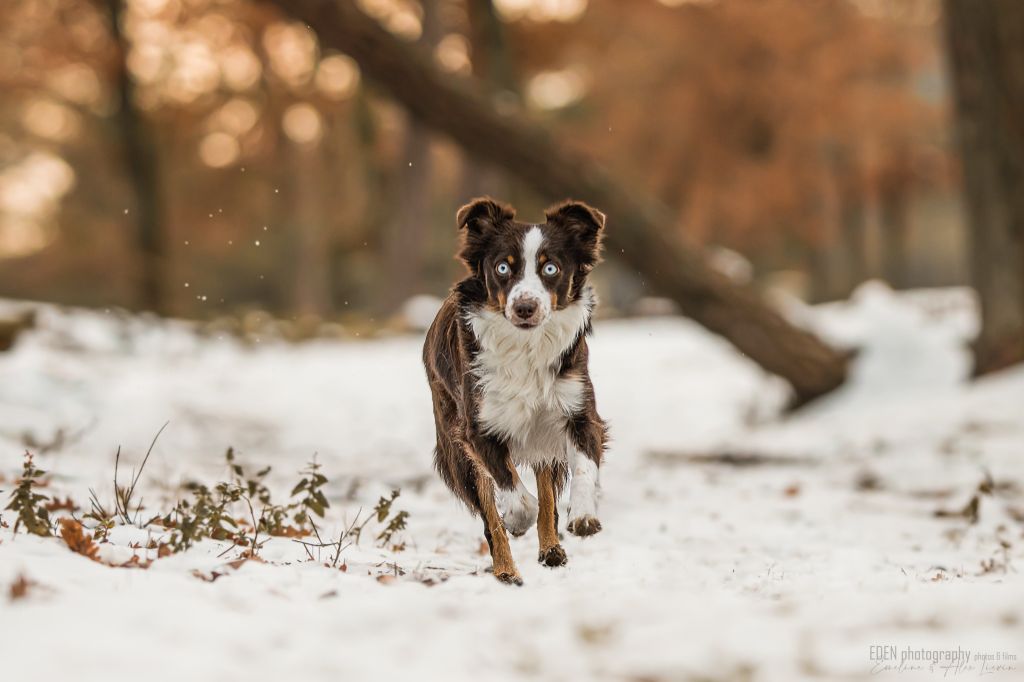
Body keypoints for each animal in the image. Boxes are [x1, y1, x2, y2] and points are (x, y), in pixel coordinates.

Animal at [423, 196, 606, 585]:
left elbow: (583, 469)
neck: (526, 346)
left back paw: (551, 549)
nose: (525, 307)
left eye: (551, 268)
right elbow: (513, 493)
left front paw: (583, 515)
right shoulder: (477, 429)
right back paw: (506, 569)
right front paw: (517, 519)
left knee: (547, 494)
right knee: (491, 515)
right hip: (456, 447)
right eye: (503, 267)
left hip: (543, 434)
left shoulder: (578, 411)